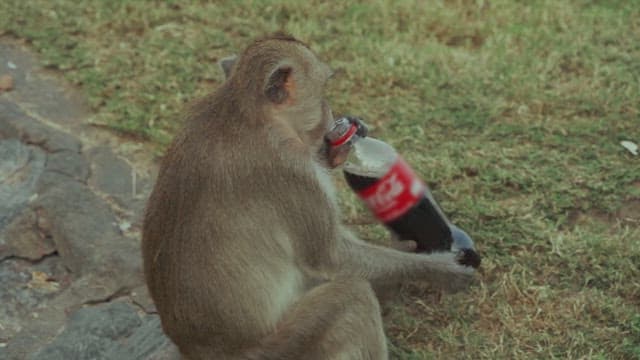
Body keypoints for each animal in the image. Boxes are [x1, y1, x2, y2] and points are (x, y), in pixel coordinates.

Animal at [145, 34, 476, 360]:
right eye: (323, 90)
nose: (331, 113)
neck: (245, 112)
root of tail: (194, 350)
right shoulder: (291, 171)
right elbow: (331, 257)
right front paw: (442, 268)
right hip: (285, 348)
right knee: (351, 295)